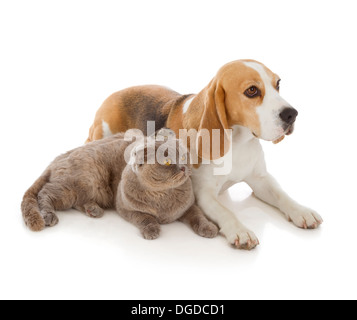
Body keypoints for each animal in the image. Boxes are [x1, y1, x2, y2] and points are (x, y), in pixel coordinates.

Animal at [22, 131, 218, 240]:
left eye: (184, 156)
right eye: (168, 162)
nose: (184, 167)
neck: (161, 197)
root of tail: (58, 158)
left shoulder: (189, 206)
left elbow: (199, 217)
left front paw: (209, 228)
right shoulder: (128, 209)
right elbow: (146, 218)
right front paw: (152, 230)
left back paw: (93, 210)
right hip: (84, 181)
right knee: (45, 193)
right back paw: (49, 216)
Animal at [87, 60, 322, 250]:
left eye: (278, 84)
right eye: (252, 91)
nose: (292, 114)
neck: (238, 142)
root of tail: (113, 94)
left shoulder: (260, 179)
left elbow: (282, 195)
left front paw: (301, 211)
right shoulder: (203, 194)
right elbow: (225, 211)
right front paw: (240, 230)